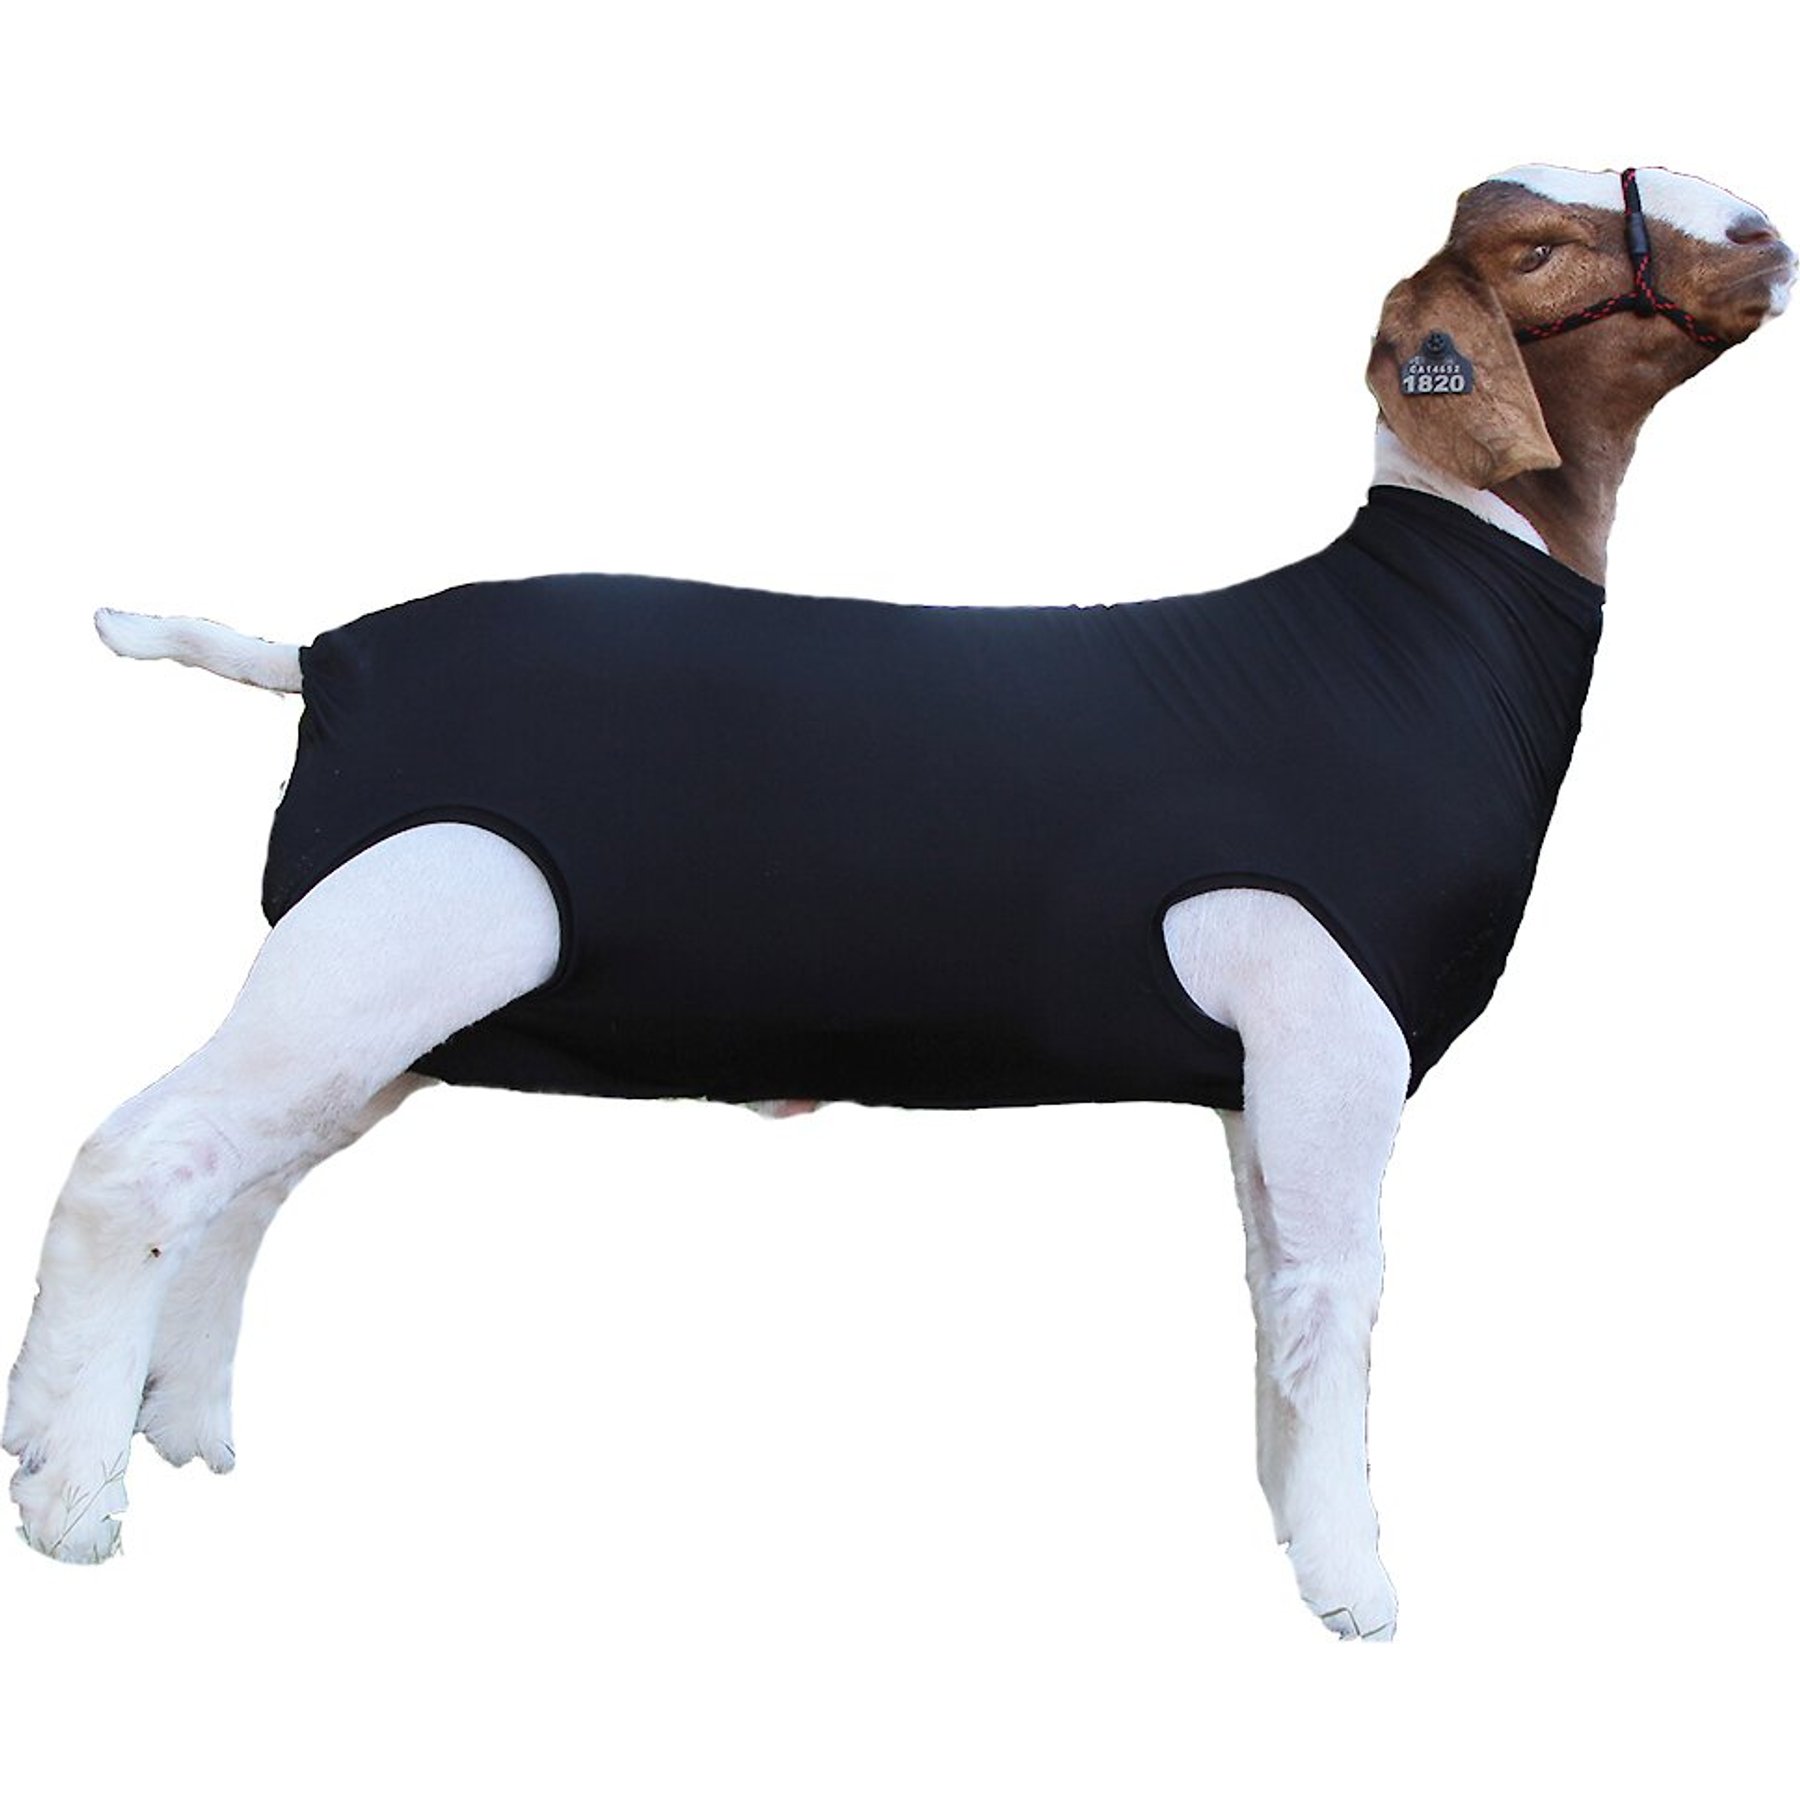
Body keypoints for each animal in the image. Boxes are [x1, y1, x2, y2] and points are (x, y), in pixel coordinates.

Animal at [6, 164, 1790, 1640]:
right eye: (1542, 245)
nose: (1764, 232)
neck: (1396, 652)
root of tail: (323, 656)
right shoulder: (1335, 1038)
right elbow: (1336, 1300)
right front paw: (1355, 1592)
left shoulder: (1264, 1073)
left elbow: (1271, 1294)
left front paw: (1293, 1529)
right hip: (390, 942)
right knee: (139, 1162)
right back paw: (71, 1499)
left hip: (379, 1002)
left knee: (240, 1186)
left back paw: (178, 1432)